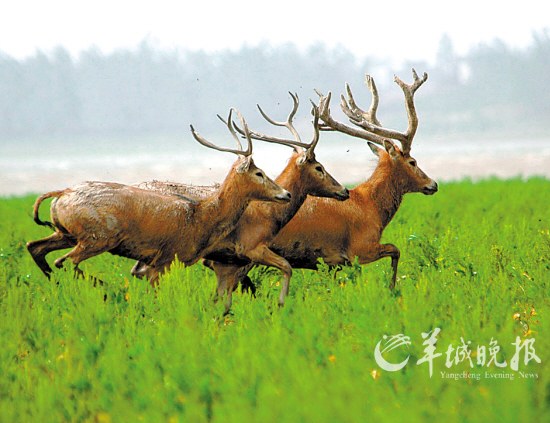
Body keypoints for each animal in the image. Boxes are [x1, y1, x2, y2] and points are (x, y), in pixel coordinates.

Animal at [25, 111, 294, 286]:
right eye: (259, 173)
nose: (285, 193)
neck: (202, 218)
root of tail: (62, 193)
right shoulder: (165, 257)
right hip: (97, 236)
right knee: (64, 260)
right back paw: (101, 287)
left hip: (66, 233)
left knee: (35, 247)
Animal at [132, 96, 352, 314]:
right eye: (319, 167)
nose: (344, 190)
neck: (268, 213)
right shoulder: (249, 249)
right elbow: (282, 269)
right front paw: (280, 305)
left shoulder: (225, 260)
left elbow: (224, 299)